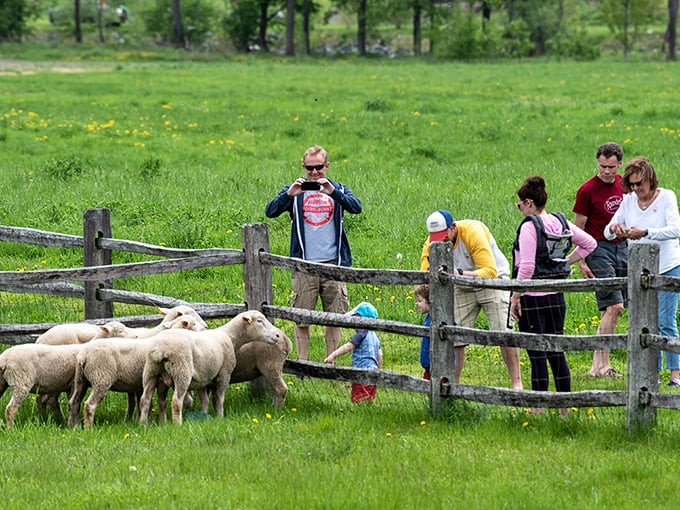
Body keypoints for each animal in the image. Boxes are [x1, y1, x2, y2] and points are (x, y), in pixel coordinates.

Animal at [66, 314, 205, 430]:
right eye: (193, 324)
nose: (205, 329)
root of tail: (84, 355)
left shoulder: (138, 384)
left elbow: (141, 403)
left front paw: (142, 422)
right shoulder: (158, 380)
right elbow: (155, 402)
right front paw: (156, 422)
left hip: (80, 380)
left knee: (74, 402)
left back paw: (73, 427)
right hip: (101, 378)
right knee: (89, 405)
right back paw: (88, 429)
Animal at [139, 310, 280, 426]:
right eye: (259, 321)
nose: (278, 335)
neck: (230, 337)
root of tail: (160, 350)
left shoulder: (203, 378)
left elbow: (205, 400)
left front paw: (204, 414)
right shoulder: (224, 374)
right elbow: (219, 399)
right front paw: (220, 417)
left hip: (151, 372)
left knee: (145, 400)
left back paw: (144, 425)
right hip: (181, 371)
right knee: (176, 401)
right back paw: (177, 425)